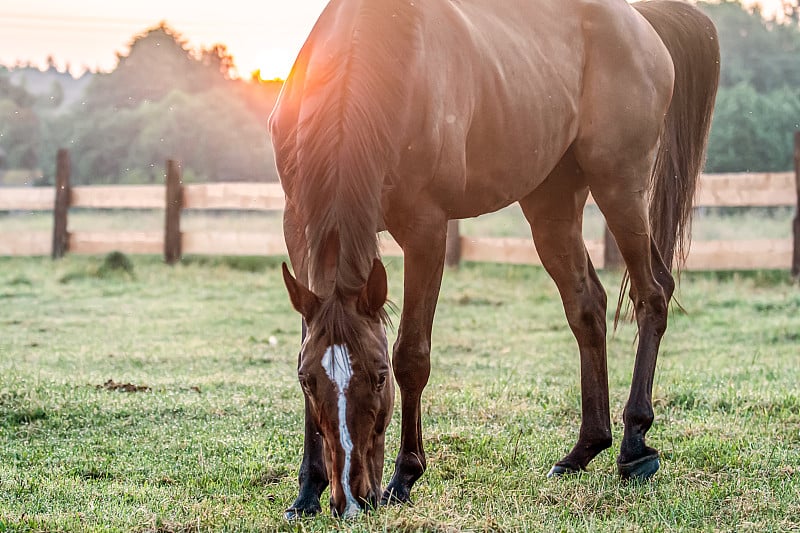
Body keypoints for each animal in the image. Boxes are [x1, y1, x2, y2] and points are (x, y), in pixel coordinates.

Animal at [268, 0, 720, 516]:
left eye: (379, 377)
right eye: (308, 381)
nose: (352, 499)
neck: (369, 64)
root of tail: (639, 22)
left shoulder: (426, 230)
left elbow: (413, 355)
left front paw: (405, 476)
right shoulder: (297, 227)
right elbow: (307, 339)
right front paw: (307, 489)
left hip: (620, 187)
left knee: (652, 294)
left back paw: (634, 446)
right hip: (552, 203)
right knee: (588, 307)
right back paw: (583, 450)